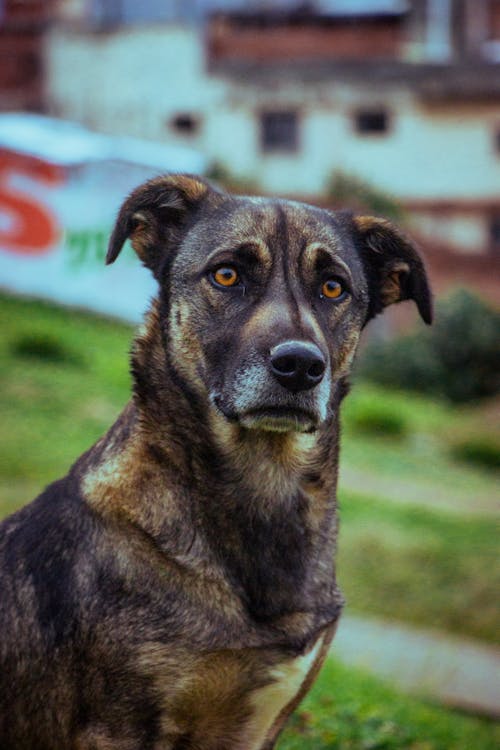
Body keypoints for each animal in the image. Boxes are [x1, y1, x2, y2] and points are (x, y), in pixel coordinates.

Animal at [0, 176, 430, 750]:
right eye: (226, 275)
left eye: (334, 287)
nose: (300, 366)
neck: (263, 484)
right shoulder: (116, 728)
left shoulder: (258, 724)